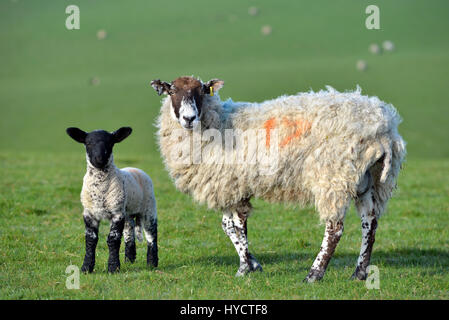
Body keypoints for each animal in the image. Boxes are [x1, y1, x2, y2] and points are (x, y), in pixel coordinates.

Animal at [66, 127, 158, 272]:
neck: (100, 190)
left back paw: (152, 263)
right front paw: (86, 268)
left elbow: (113, 239)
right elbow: (91, 239)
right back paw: (129, 260)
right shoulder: (89, 213)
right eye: (88, 143)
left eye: (110, 143)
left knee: (151, 235)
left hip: (149, 208)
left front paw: (113, 267)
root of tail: (136, 169)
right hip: (127, 213)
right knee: (129, 234)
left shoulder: (116, 213)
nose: (99, 159)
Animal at [149, 76, 404, 282]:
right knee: (369, 222)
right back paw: (358, 273)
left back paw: (314, 274)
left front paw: (245, 268)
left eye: (201, 91)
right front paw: (252, 264)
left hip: (333, 176)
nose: (189, 117)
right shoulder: (231, 186)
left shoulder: (230, 185)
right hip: (368, 180)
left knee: (335, 229)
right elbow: (231, 226)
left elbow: (235, 227)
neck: (218, 122)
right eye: (172, 91)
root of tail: (383, 126)